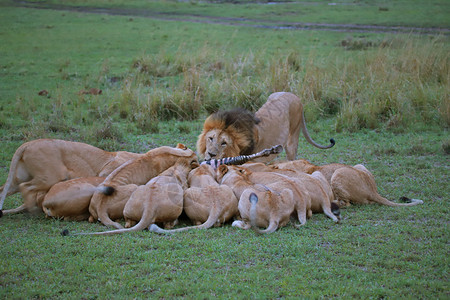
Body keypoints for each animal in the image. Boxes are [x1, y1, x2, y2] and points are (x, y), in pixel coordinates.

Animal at [0, 138, 141, 216]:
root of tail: (28, 144)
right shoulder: (107, 174)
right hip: (51, 177)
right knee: (25, 187)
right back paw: (33, 212)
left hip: (18, 179)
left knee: (3, 190)